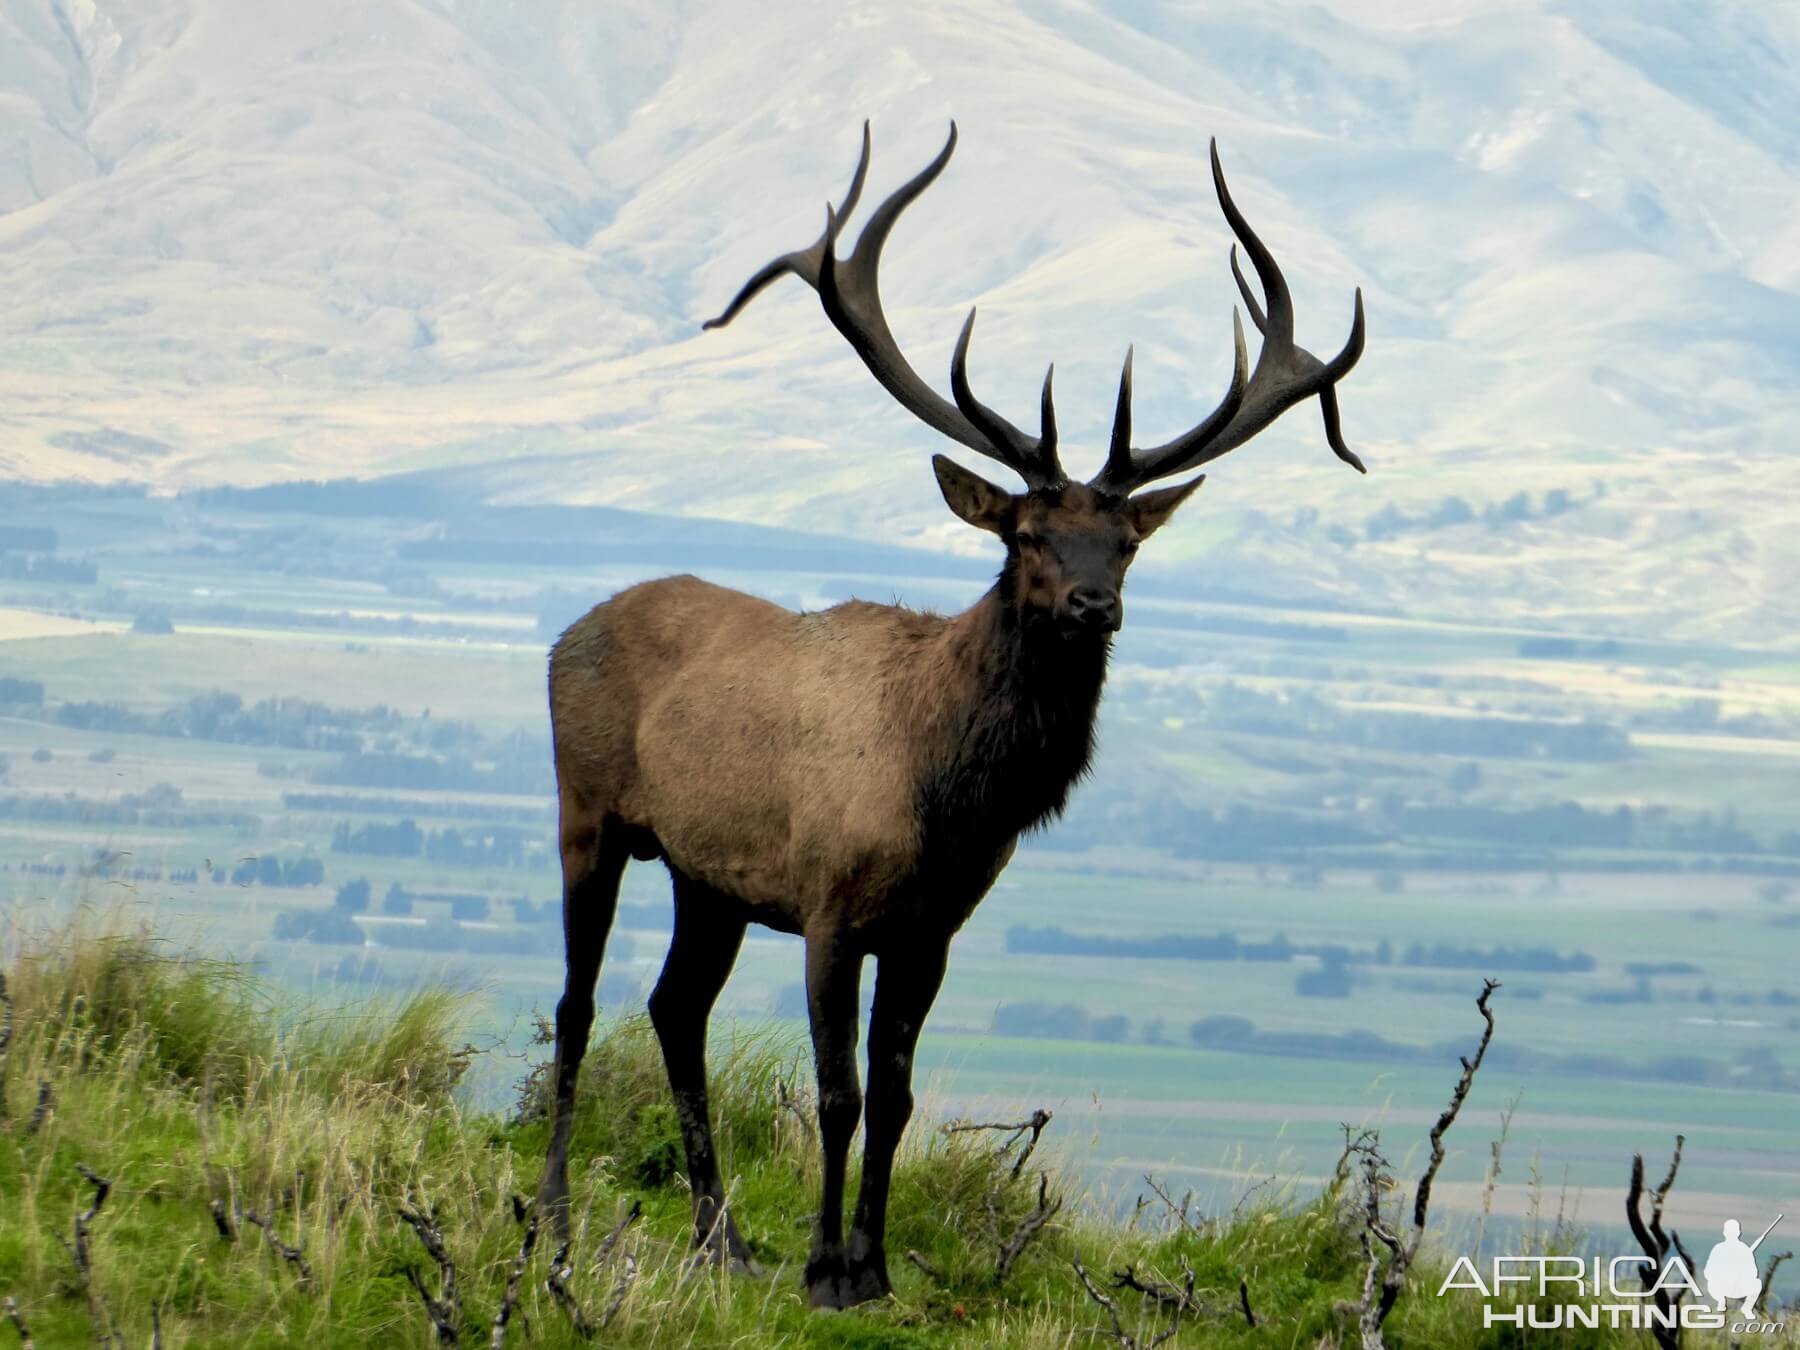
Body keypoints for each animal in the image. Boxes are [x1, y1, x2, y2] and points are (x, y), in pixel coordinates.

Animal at [532, 124, 1360, 1310]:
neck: (951, 797)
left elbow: (898, 1097)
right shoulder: (831, 904)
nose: (1093, 603)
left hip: (708, 877)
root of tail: (565, 634)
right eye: (1027, 535)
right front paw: (825, 1271)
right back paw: (556, 1218)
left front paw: (873, 1268)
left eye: (1126, 542)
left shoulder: (932, 930)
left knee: (673, 1007)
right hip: (588, 811)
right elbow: (836, 1093)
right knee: (578, 1004)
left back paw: (720, 1237)